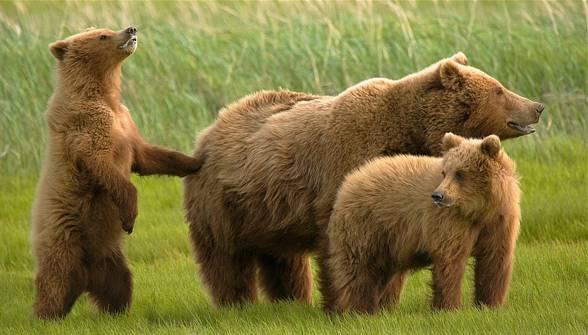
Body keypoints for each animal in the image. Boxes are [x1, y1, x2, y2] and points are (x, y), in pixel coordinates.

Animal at [32, 26, 202, 320]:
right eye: (102, 36)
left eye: (106, 28)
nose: (131, 29)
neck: (103, 94)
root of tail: (84, 279)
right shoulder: (88, 127)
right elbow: (104, 165)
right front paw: (130, 216)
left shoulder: (125, 122)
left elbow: (147, 156)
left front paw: (196, 161)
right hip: (64, 238)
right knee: (55, 280)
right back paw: (46, 315)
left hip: (109, 257)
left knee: (119, 283)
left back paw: (115, 311)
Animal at [322, 133, 520, 316]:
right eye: (445, 172)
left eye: (460, 173)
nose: (438, 195)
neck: (479, 210)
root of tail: (349, 180)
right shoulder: (451, 222)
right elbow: (450, 261)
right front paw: (449, 308)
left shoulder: (500, 221)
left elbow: (494, 261)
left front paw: (490, 305)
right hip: (366, 226)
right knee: (360, 268)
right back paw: (362, 309)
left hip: (391, 242)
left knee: (387, 273)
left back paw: (383, 307)